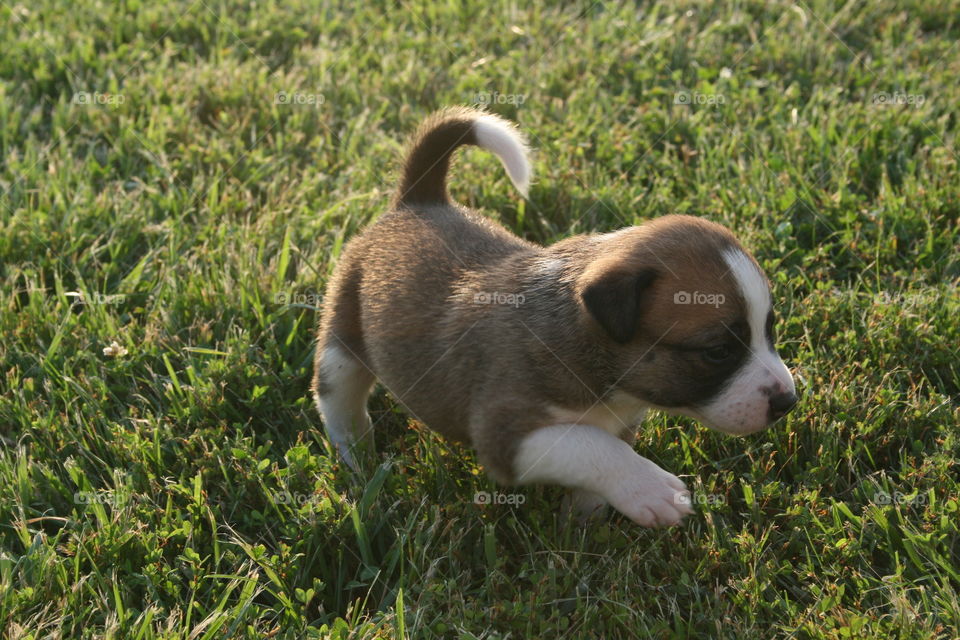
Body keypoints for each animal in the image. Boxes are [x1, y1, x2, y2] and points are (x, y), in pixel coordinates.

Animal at [312, 106, 800, 524]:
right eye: (718, 351)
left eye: (769, 329)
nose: (788, 402)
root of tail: (419, 200)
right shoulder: (507, 433)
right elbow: (590, 447)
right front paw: (650, 490)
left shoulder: (619, 421)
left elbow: (594, 465)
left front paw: (583, 523)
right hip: (342, 339)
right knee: (339, 401)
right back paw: (358, 457)